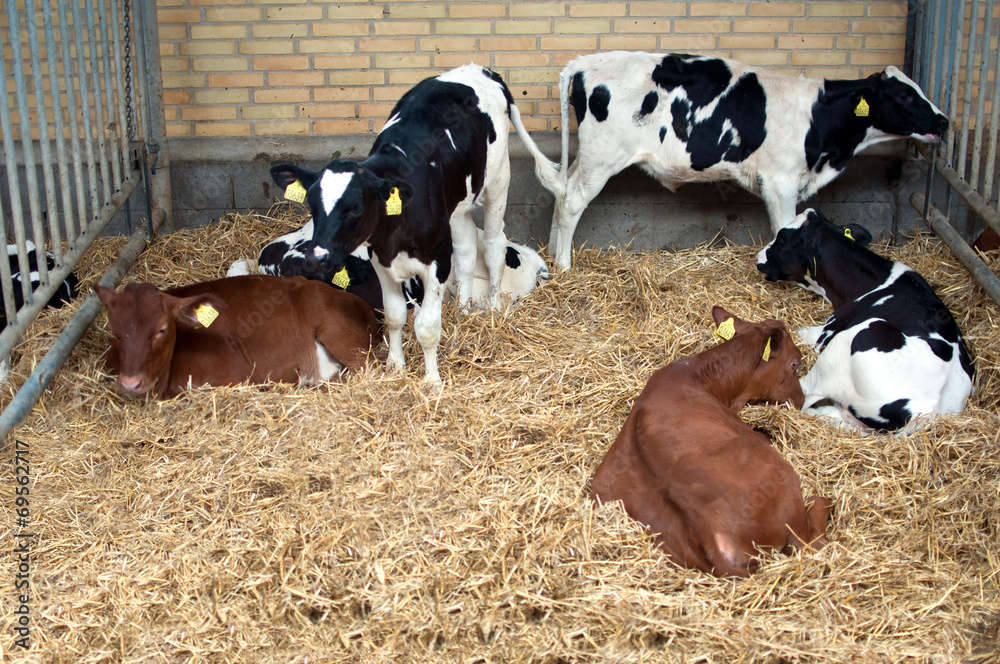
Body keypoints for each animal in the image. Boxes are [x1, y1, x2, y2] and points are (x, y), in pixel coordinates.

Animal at [270, 66, 544, 384]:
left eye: (355, 207)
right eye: (312, 206)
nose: (317, 258)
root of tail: (481, 69)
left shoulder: (436, 263)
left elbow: (427, 327)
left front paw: (432, 380)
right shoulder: (380, 262)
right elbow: (394, 315)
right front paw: (396, 365)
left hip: (498, 178)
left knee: (493, 244)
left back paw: (493, 308)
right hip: (456, 205)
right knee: (465, 250)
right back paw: (462, 312)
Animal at [520, 51, 948, 270]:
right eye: (905, 95)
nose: (944, 121)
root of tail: (584, 63)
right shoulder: (780, 182)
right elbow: (783, 227)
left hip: (588, 157)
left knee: (562, 194)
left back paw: (553, 254)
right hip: (604, 156)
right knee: (572, 202)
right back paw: (564, 266)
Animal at [588, 306, 832, 576]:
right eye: (795, 364)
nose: (801, 400)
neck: (701, 376)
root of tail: (706, 531)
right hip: (784, 480)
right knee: (813, 540)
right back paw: (823, 502)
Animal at [752, 210, 972, 434]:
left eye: (782, 241)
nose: (756, 256)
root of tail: (926, 412)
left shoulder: (823, 332)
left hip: (851, 343)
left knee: (802, 394)